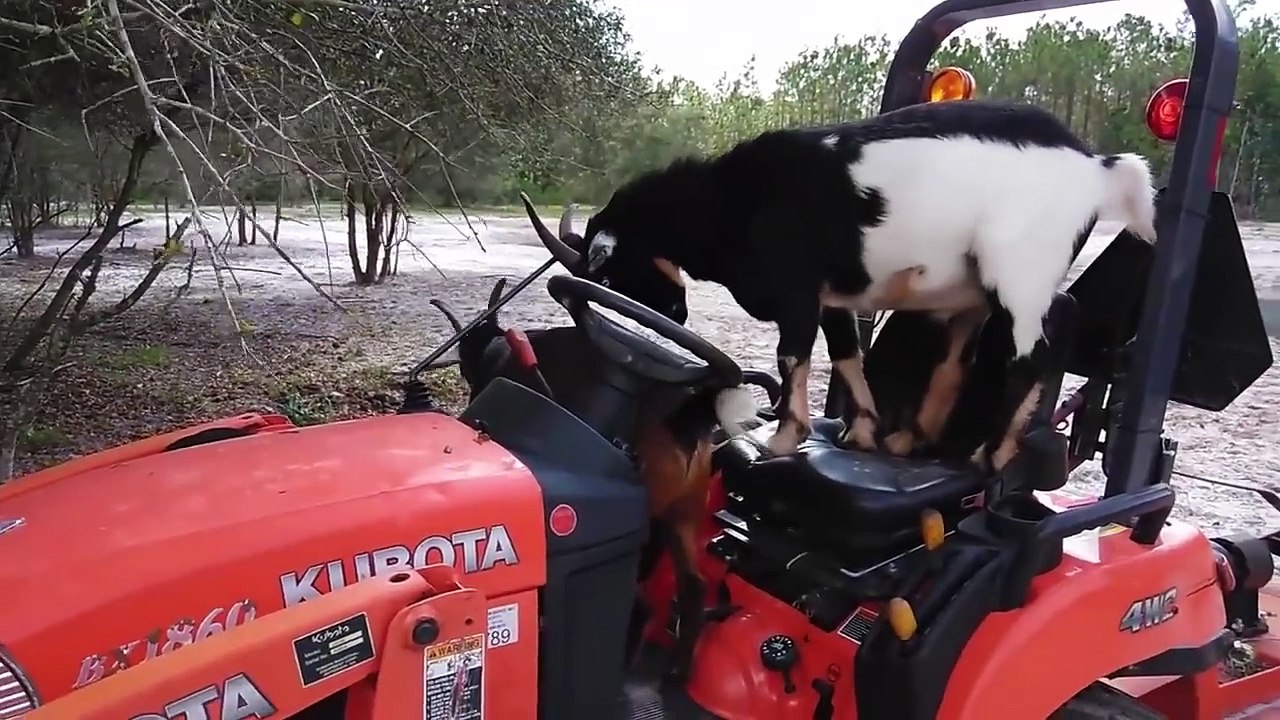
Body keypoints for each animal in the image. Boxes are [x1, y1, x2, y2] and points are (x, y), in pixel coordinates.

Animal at [529, 99, 1156, 472]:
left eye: (607, 272)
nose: (675, 316)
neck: (735, 200)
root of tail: (1098, 167)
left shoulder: (797, 289)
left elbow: (792, 357)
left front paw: (782, 441)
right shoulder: (835, 295)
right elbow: (847, 354)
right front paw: (863, 433)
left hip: (1021, 272)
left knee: (1031, 357)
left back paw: (990, 454)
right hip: (972, 294)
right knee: (956, 362)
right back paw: (910, 442)